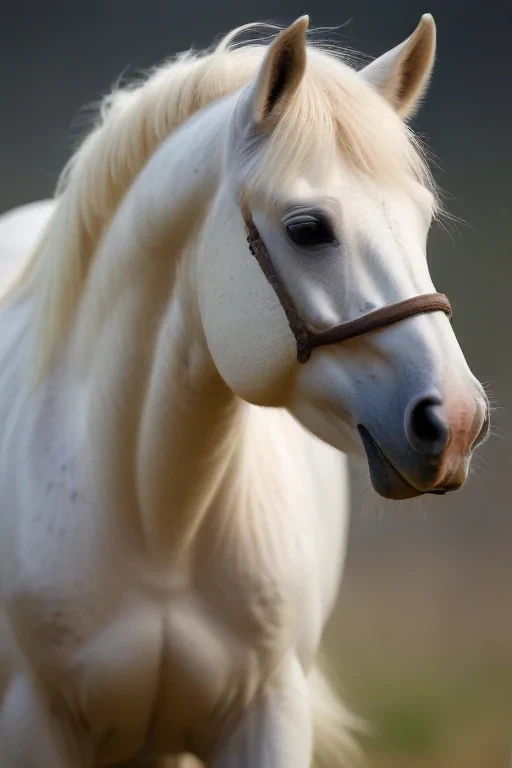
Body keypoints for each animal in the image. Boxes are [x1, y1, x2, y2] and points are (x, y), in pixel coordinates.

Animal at [0, 14, 489, 767]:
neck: (158, 526)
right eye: (308, 228)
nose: (457, 420)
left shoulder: (266, 714)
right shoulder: (34, 721)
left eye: (422, 221)